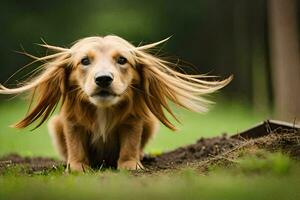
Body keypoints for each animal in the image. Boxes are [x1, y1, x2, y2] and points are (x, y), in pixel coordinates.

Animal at [0, 35, 232, 171]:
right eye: (84, 61)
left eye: (122, 60)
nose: (103, 79)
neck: (103, 110)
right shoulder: (71, 123)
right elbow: (75, 148)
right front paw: (77, 168)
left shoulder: (133, 122)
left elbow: (130, 146)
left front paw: (130, 166)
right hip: (55, 125)